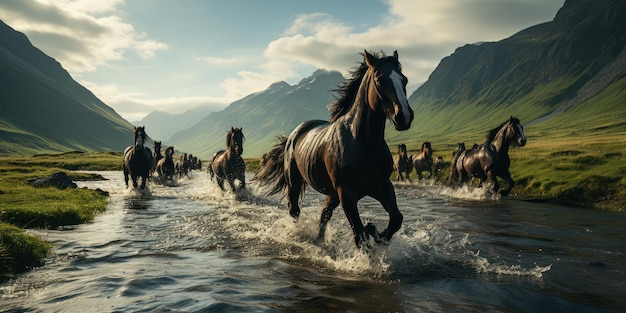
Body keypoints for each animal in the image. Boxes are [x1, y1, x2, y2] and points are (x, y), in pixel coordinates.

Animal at [251, 50, 412, 246]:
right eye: (380, 80)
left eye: (404, 80)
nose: (404, 116)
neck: (362, 144)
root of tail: (293, 135)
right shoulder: (347, 195)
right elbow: (360, 235)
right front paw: (370, 234)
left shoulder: (382, 186)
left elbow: (396, 219)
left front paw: (375, 232)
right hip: (295, 183)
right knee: (295, 211)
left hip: (332, 193)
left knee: (324, 215)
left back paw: (320, 240)